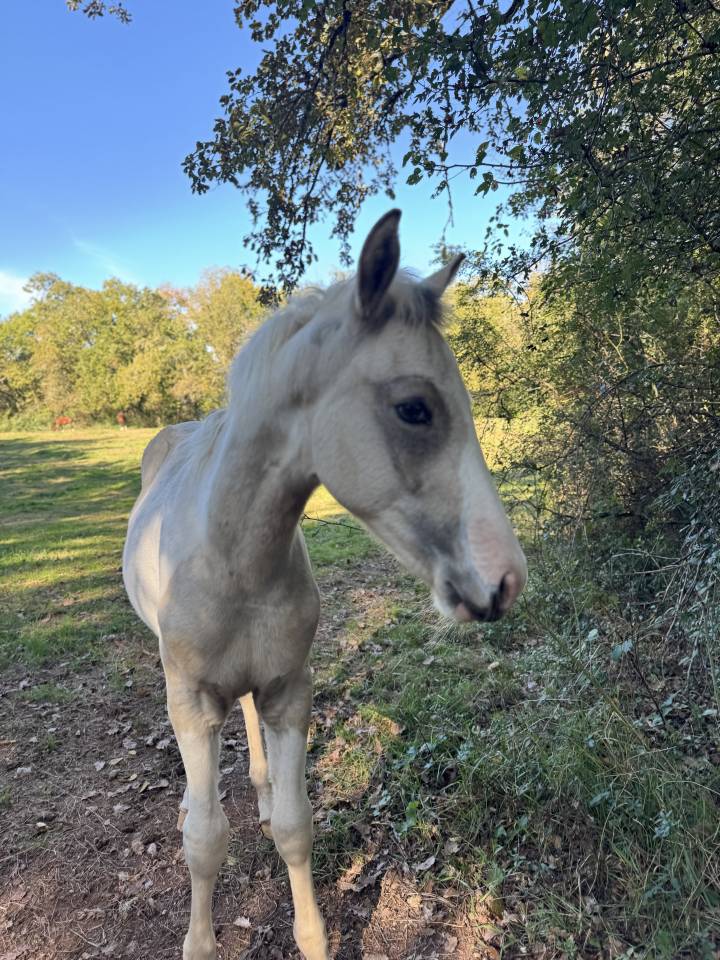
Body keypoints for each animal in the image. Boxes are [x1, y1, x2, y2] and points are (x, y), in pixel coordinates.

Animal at [122, 210, 527, 960]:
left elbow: (293, 825)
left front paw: (311, 936)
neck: (234, 561)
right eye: (414, 408)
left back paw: (254, 786)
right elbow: (204, 840)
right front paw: (199, 940)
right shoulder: (190, 698)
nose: (505, 578)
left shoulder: (289, 689)